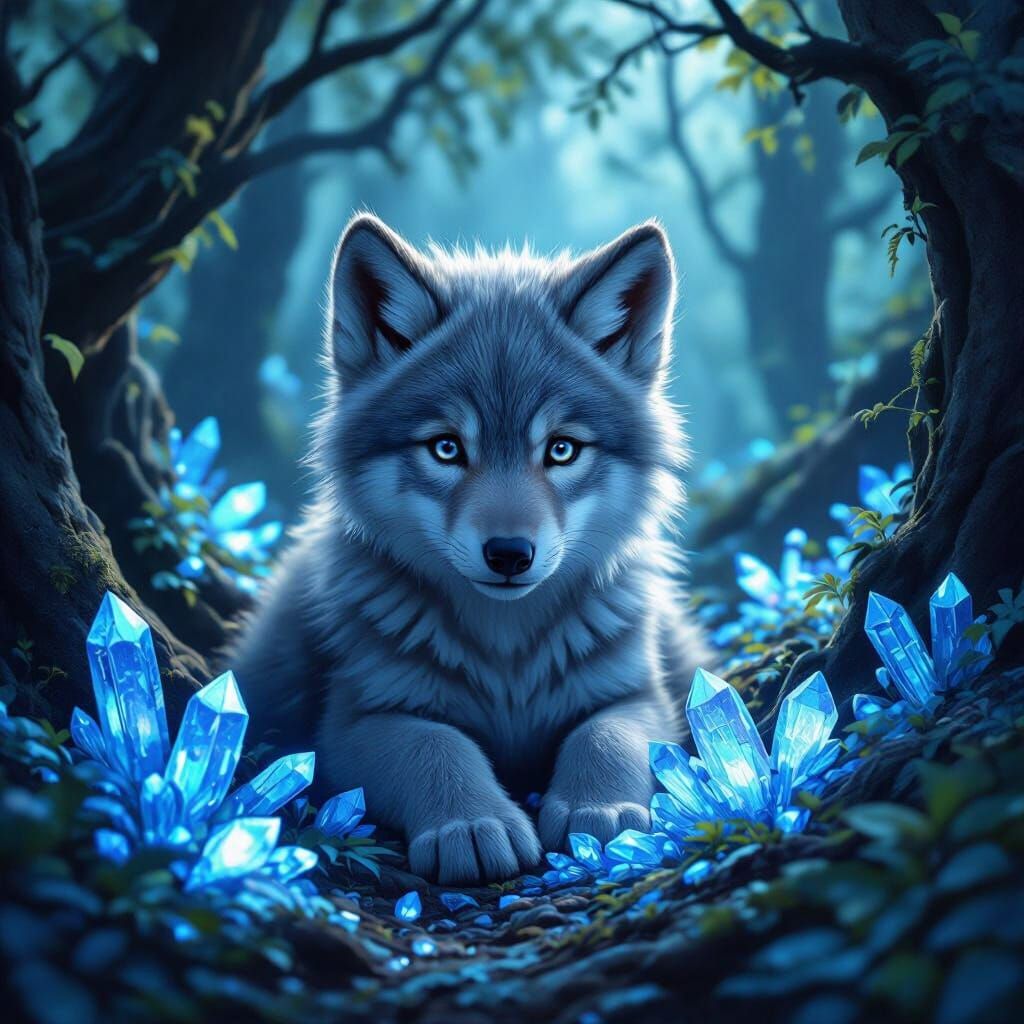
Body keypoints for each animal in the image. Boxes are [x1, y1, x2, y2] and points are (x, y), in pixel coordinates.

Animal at [230, 213, 710, 884]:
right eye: (447, 448)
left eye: (561, 450)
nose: (509, 554)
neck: (506, 654)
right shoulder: (354, 722)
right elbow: (437, 743)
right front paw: (473, 823)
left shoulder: (638, 696)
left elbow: (606, 736)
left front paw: (600, 810)